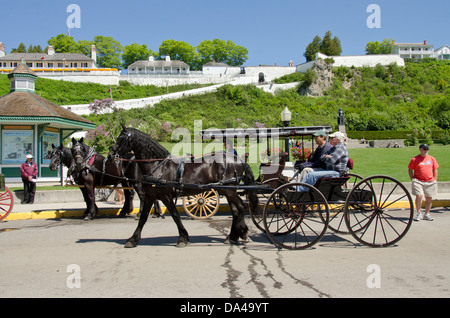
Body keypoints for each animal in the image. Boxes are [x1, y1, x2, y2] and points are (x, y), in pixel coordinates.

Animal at [110, 126, 260, 248]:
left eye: (121, 138)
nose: (111, 154)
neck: (157, 165)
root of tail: (238, 160)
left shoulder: (165, 196)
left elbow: (175, 215)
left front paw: (182, 238)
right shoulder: (150, 196)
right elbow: (143, 218)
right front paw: (133, 239)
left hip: (229, 190)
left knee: (240, 207)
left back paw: (241, 233)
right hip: (227, 190)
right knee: (236, 210)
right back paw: (233, 236)